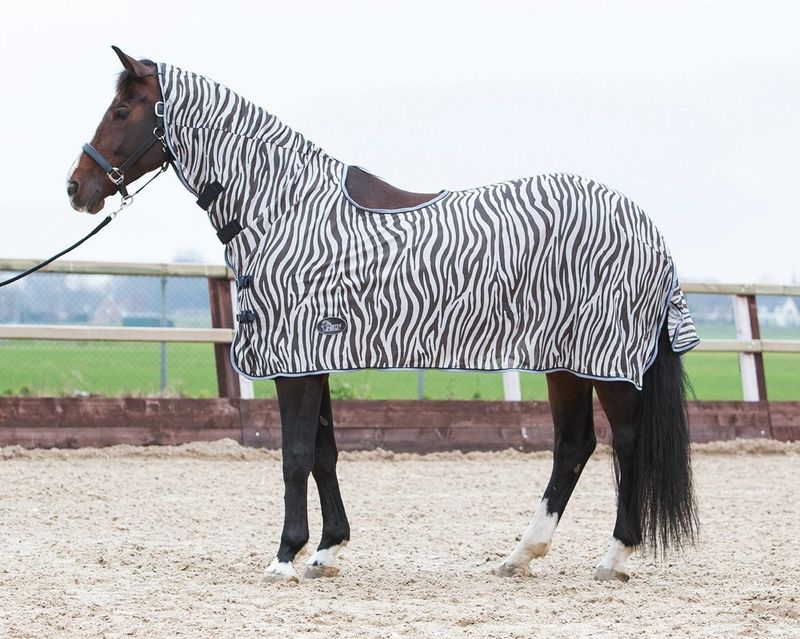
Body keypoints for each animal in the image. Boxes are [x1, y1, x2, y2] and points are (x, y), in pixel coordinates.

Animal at [67, 46, 699, 583]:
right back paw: (520, 555)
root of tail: (648, 228)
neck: (284, 208)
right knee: (574, 446)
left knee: (625, 441)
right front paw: (326, 551)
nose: (77, 188)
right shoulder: (312, 358)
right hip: (565, 361)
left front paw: (284, 557)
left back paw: (615, 556)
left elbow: (294, 456)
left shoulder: (295, 360)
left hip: (605, 360)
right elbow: (324, 453)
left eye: (122, 110)